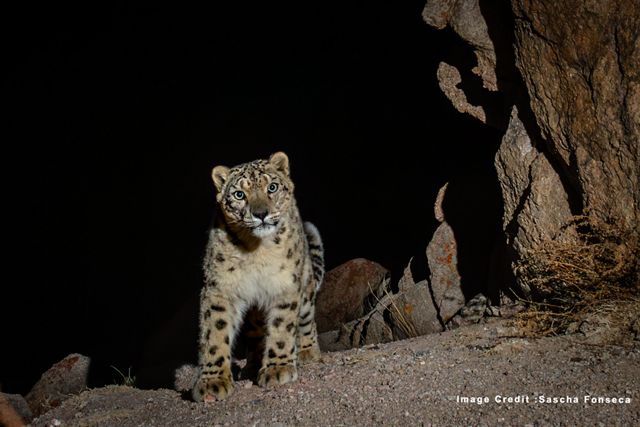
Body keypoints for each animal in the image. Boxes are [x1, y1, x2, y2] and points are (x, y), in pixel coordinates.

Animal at [191, 151, 324, 402]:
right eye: (239, 194)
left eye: (272, 187)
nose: (261, 214)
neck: (256, 250)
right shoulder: (219, 288)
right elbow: (215, 332)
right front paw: (213, 382)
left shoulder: (284, 284)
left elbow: (282, 327)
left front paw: (277, 369)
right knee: (255, 335)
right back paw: (251, 365)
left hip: (305, 289)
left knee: (306, 320)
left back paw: (308, 352)